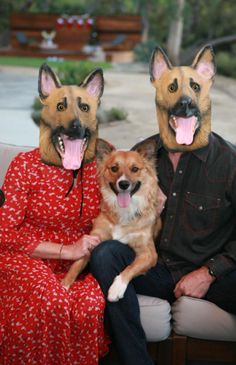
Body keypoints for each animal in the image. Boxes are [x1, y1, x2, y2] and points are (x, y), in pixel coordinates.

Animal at [61, 138, 163, 300]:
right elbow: (76, 263)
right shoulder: (93, 240)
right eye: (114, 168)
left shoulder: (149, 254)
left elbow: (131, 267)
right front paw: (64, 284)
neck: (124, 212)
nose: (123, 184)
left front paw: (117, 288)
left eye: (135, 169)